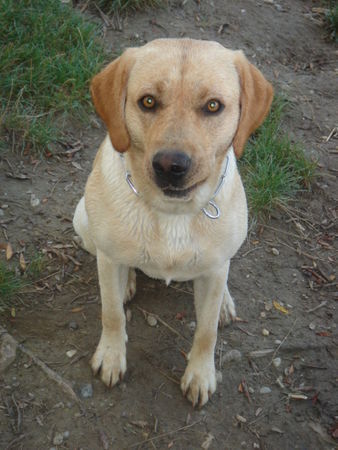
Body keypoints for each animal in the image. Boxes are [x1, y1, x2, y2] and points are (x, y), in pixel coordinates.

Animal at [72, 37, 274, 406]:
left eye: (213, 106)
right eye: (148, 101)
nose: (170, 165)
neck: (173, 212)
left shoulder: (215, 269)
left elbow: (206, 332)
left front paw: (200, 373)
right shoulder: (107, 261)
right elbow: (111, 313)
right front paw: (111, 355)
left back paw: (224, 302)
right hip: (83, 221)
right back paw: (129, 281)